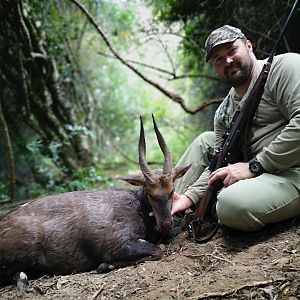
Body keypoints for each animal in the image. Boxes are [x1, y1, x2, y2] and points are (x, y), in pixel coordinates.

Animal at [0, 115, 190, 286]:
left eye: (172, 191)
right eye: (151, 194)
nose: (166, 223)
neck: (138, 206)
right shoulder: (117, 244)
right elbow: (157, 250)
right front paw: (104, 265)